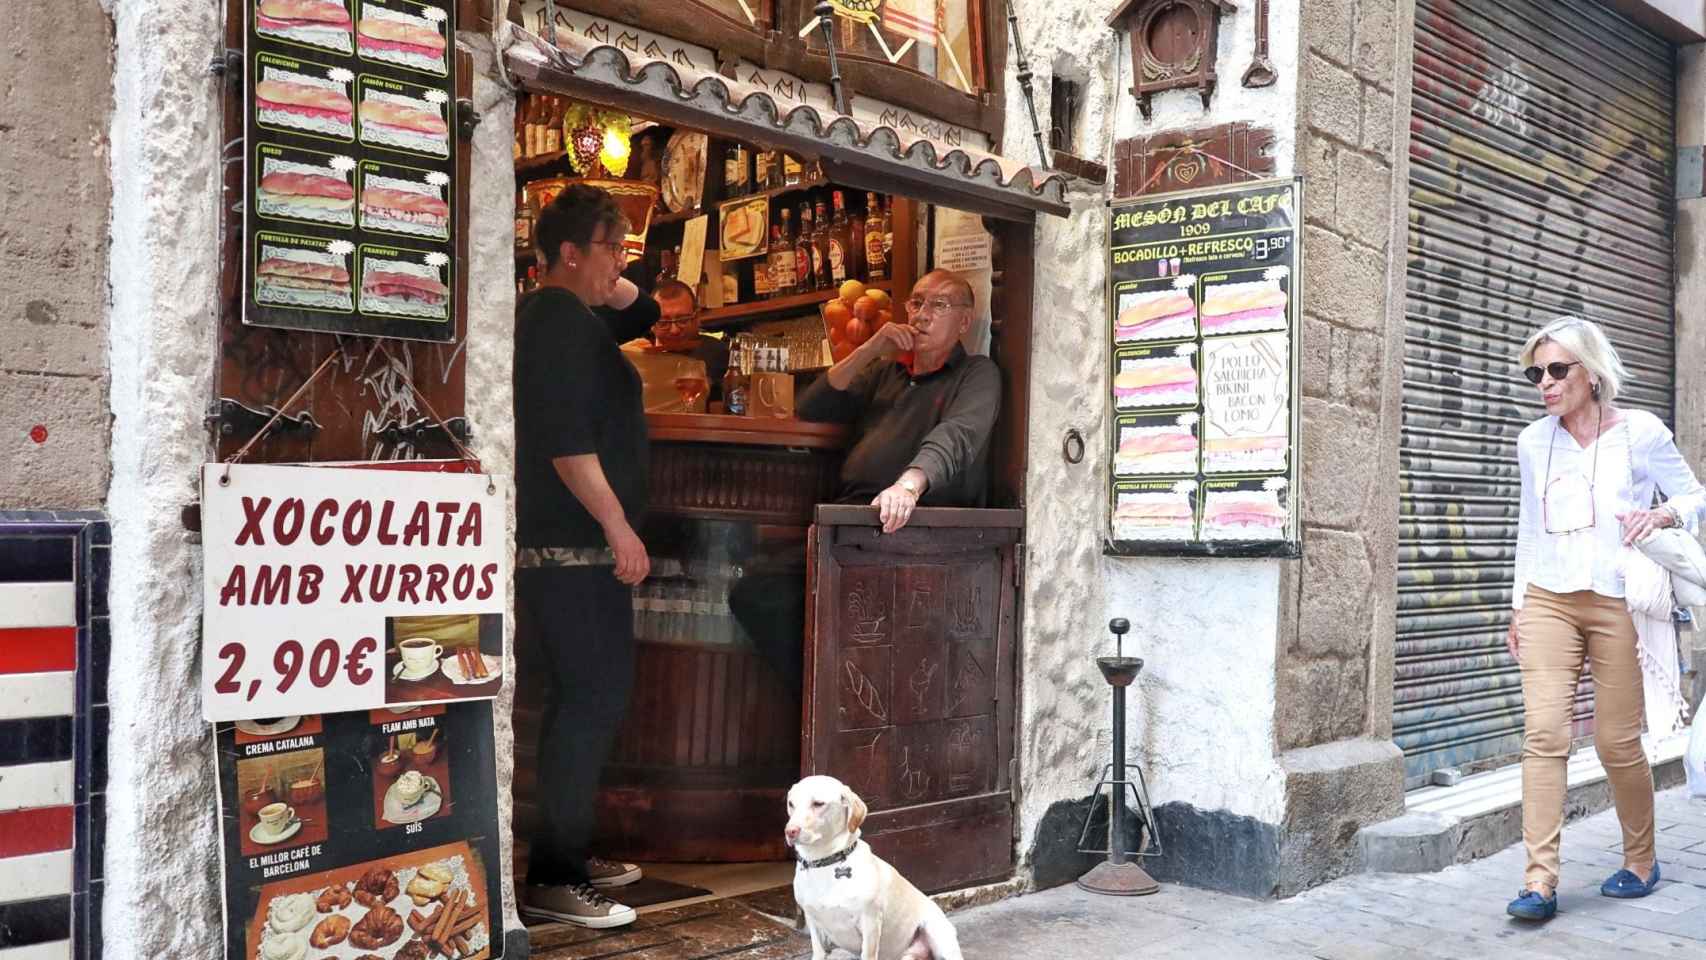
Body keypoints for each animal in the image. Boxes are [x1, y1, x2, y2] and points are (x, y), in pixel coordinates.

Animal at [781, 774, 962, 960]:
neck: (824, 861)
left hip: (938, 935)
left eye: (818, 803)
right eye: (791, 804)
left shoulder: (870, 923)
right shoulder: (813, 923)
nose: (790, 831)